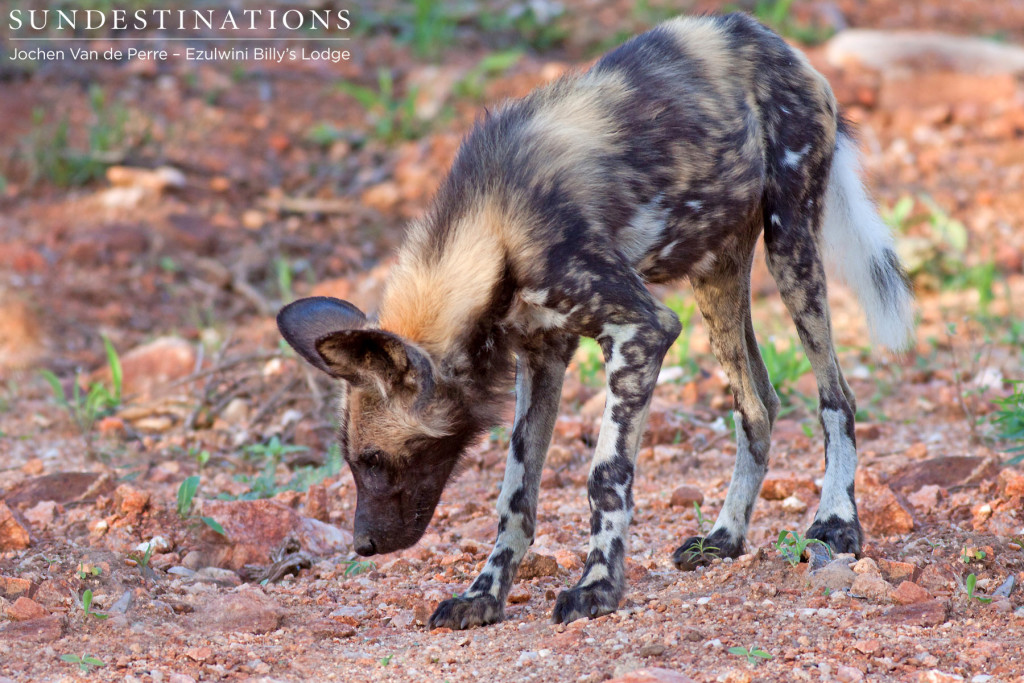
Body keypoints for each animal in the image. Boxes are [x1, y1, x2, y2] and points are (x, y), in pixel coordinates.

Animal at [274, 12, 913, 630]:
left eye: (375, 461)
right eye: (354, 462)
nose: (362, 545)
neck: (494, 231)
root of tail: (775, 41)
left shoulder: (641, 331)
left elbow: (605, 477)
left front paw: (598, 588)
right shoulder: (541, 359)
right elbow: (515, 497)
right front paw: (484, 596)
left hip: (790, 248)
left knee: (836, 398)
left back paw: (836, 523)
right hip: (715, 274)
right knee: (757, 404)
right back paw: (724, 539)